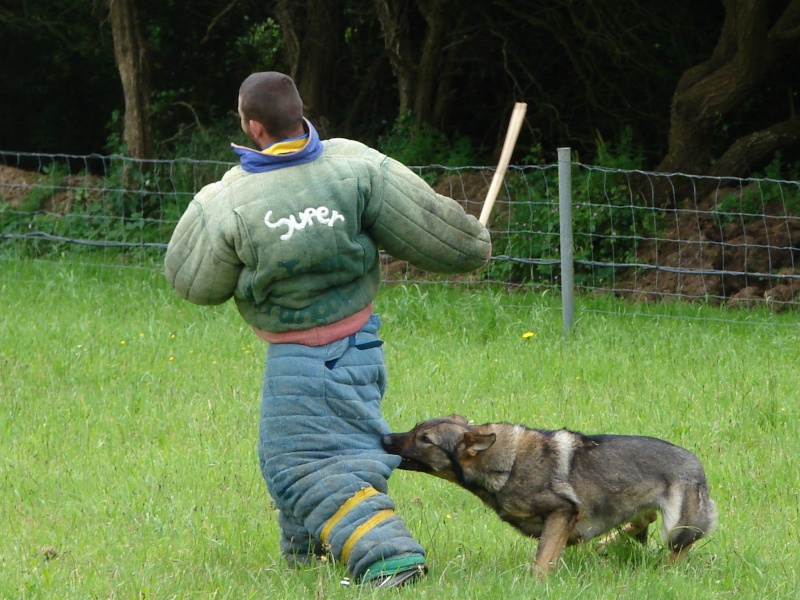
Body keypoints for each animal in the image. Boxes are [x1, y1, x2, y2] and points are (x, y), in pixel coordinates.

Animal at [382, 414, 720, 576]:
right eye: (415, 428)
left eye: (425, 440)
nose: (384, 438)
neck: (507, 463)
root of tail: (697, 464)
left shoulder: (563, 513)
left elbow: (542, 561)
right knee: (641, 518)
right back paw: (610, 541)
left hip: (676, 525)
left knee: (680, 547)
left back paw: (666, 571)